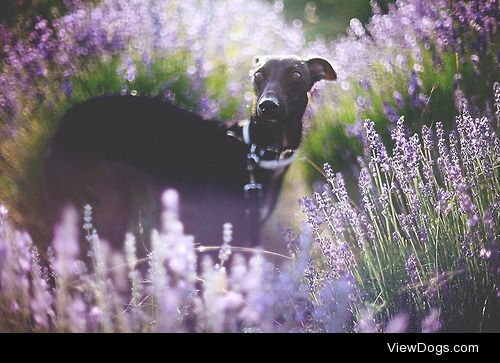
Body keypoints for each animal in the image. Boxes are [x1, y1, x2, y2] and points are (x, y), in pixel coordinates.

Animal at [42, 56, 336, 250]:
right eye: (259, 74)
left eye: (296, 75)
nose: (267, 106)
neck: (258, 150)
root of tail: (66, 118)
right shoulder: (215, 232)